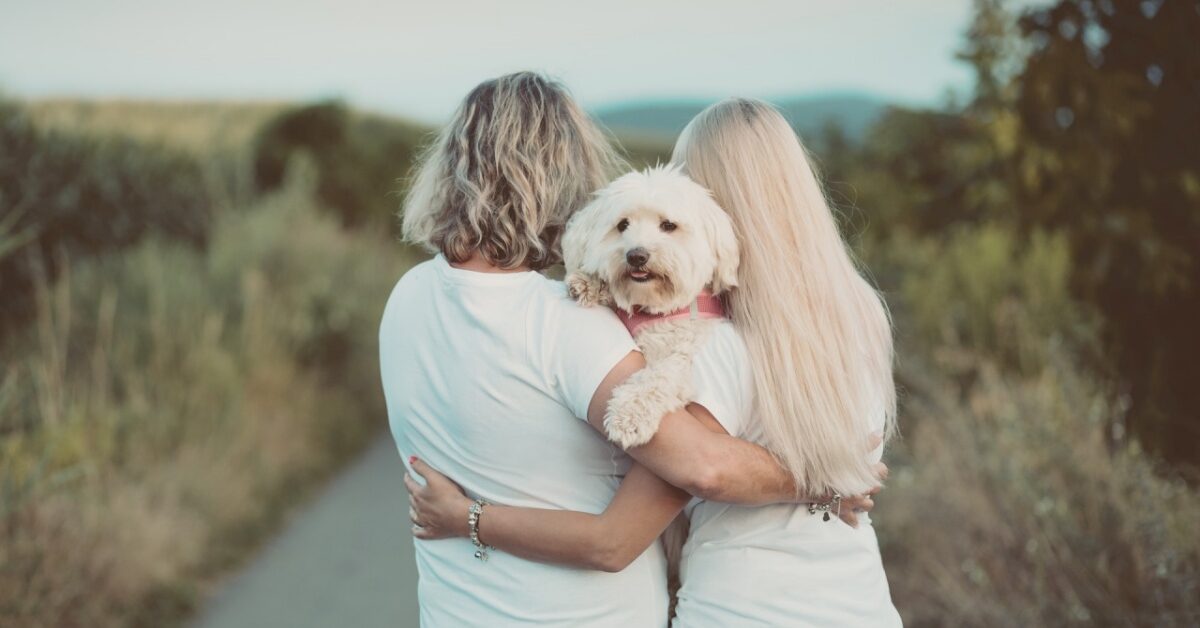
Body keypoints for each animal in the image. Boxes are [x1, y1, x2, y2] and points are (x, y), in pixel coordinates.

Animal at [564, 164, 739, 449]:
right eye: (623, 225)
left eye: (668, 225)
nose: (636, 255)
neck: (654, 309)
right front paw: (588, 283)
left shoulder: (684, 355)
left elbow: (660, 376)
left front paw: (628, 415)